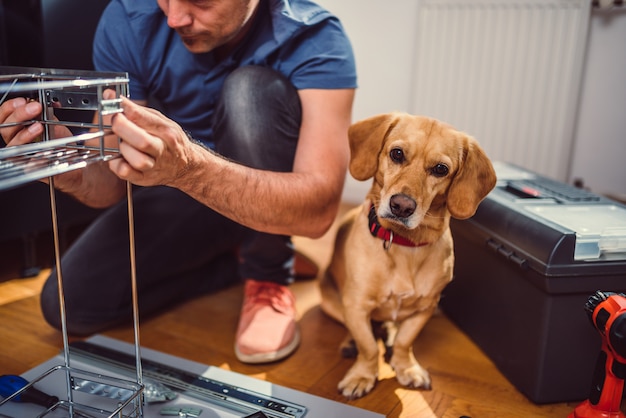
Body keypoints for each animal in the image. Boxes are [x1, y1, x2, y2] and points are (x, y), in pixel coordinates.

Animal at [320, 111, 494, 398]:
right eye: (397, 154)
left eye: (440, 169)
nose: (401, 206)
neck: (403, 243)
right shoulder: (356, 305)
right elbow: (369, 346)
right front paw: (362, 376)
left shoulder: (425, 309)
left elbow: (405, 341)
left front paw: (406, 367)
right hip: (332, 303)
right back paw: (350, 343)